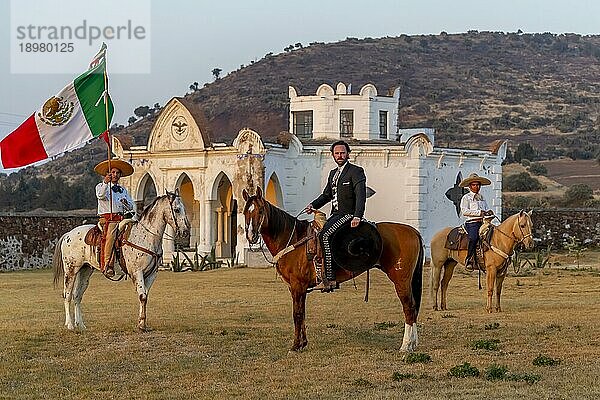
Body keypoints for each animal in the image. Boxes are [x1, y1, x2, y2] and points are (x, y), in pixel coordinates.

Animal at [54, 192, 191, 330]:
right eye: (177, 209)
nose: (185, 231)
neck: (146, 237)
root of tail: (67, 235)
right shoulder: (137, 272)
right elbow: (142, 296)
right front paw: (141, 325)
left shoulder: (151, 274)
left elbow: (145, 296)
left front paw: (142, 323)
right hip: (71, 270)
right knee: (67, 295)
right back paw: (70, 324)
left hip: (85, 270)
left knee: (77, 295)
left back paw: (81, 325)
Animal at [241, 188, 424, 354]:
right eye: (244, 212)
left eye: (260, 210)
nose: (251, 236)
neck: (293, 239)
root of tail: (412, 231)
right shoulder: (297, 288)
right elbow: (303, 314)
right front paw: (303, 343)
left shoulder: (297, 286)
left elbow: (297, 314)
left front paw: (295, 346)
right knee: (413, 308)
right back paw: (413, 344)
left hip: (401, 280)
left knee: (409, 308)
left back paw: (406, 346)